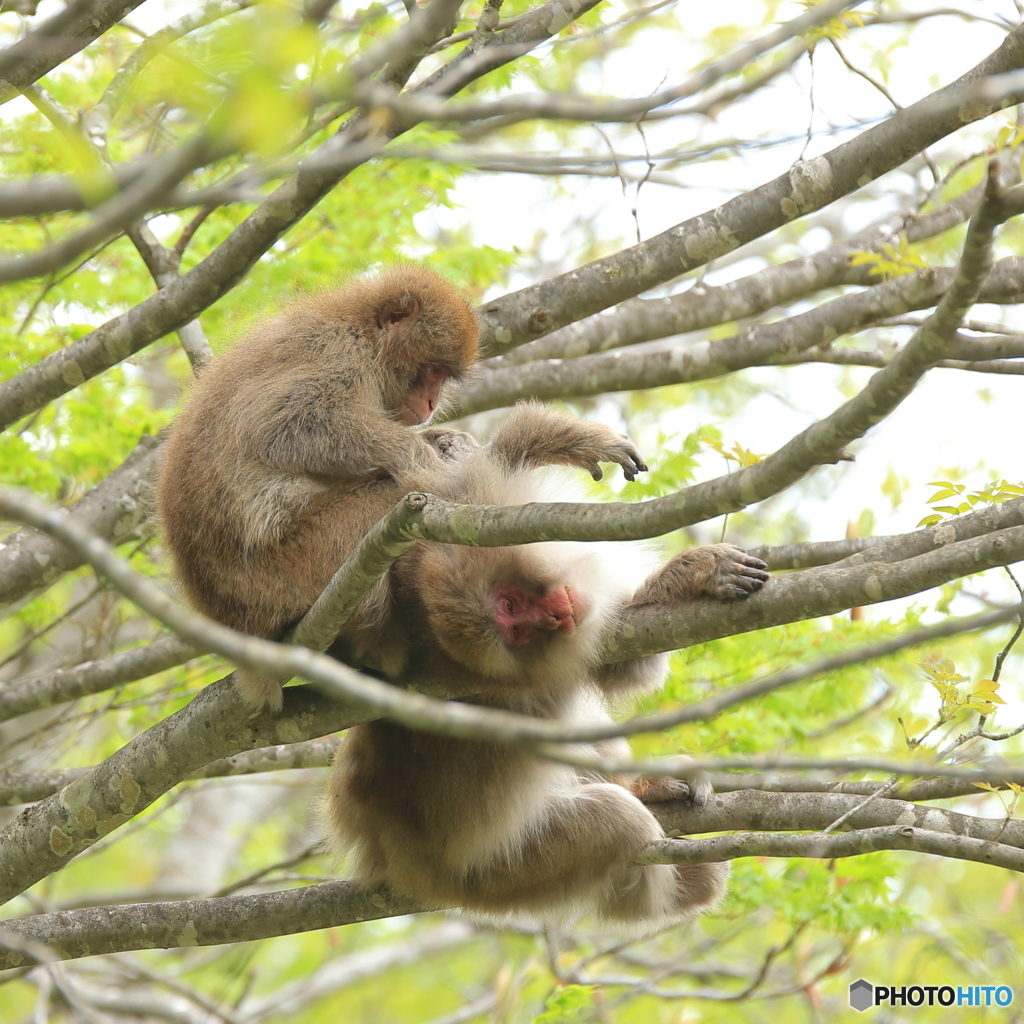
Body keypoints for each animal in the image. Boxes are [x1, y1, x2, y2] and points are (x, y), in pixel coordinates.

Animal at [156, 268, 483, 708]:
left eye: (443, 378)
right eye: (432, 370)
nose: (432, 402)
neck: (366, 334)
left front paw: (444, 441)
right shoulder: (340, 353)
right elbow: (287, 424)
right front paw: (422, 456)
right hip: (295, 563)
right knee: (388, 496)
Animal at [327, 403, 770, 933]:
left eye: (511, 605)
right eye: (516, 626)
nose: (557, 618)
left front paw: (554, 438)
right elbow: (631, 670)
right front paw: (690, 576)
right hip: (506, 875)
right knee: (614, 822)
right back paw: (674, 880)